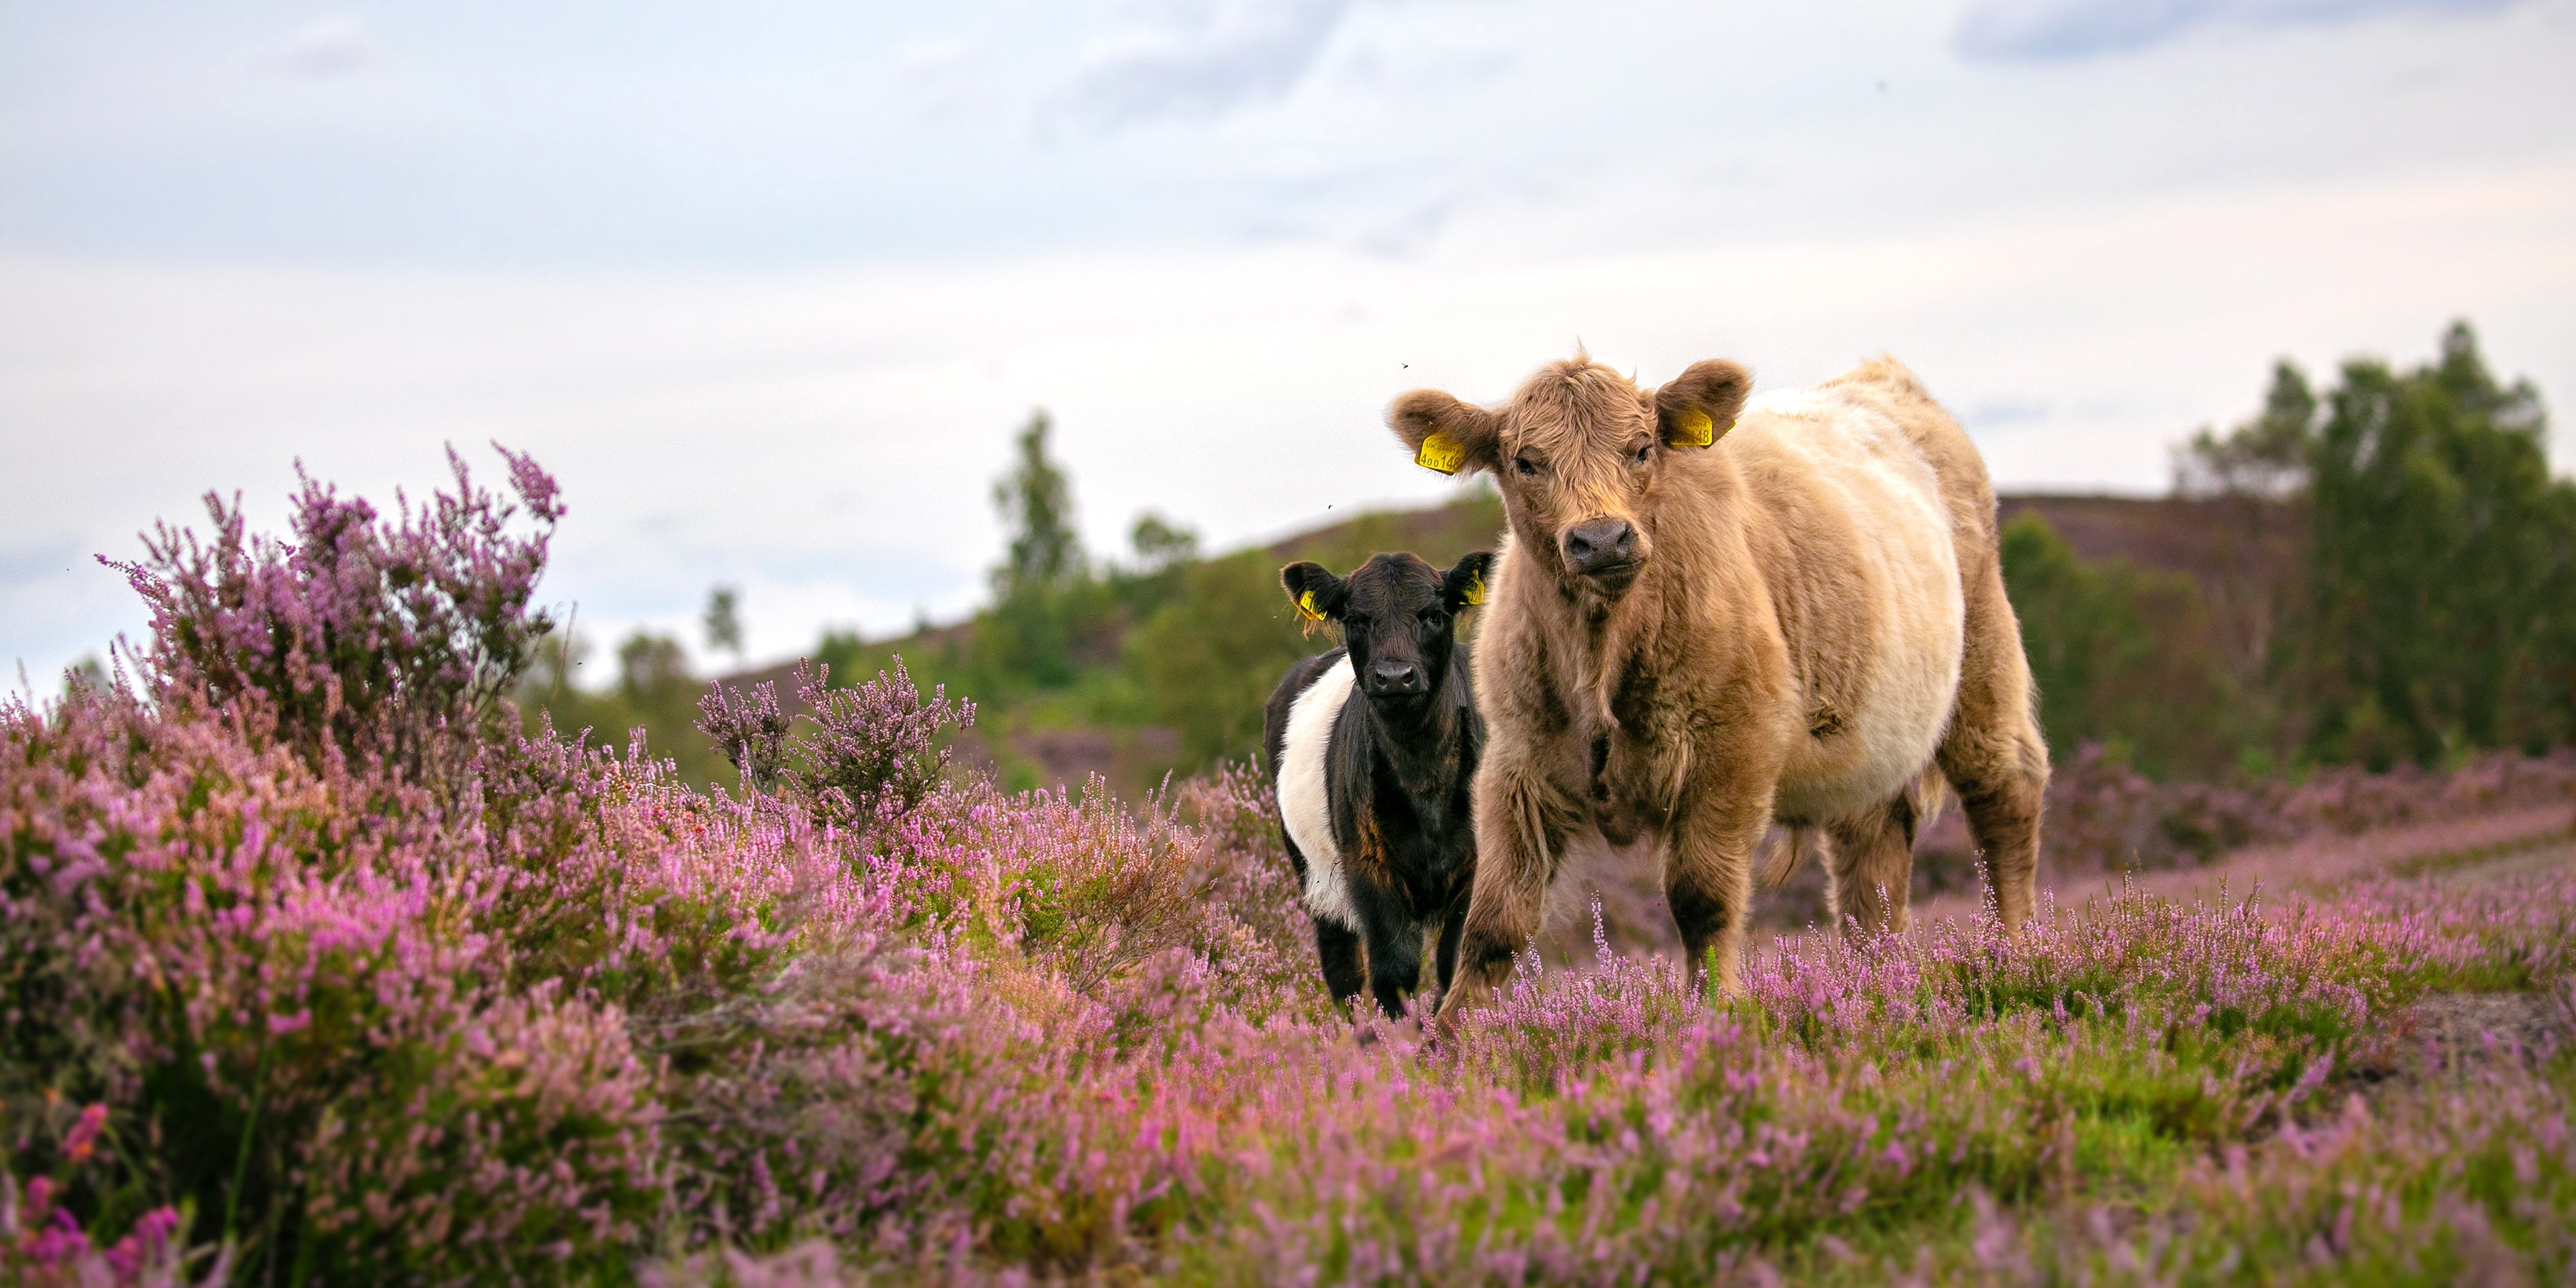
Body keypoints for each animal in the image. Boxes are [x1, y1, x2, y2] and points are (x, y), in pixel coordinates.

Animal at [1262, 550, 1496, 1020]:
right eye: (1356, 619)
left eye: (1433, 615)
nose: (1394, 676)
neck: (1424, 776)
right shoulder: (1368, 867)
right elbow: (1394, 971)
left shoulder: (1477, 867)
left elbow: (1456, 964)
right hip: (1313, 875)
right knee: (1343, 971)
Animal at [1386, 353, 2050, 1020]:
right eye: (1526, 462)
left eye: (1642, 448)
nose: (1601, 539)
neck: (1602, 647)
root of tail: (1880, 379)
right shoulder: (1517, 764)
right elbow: (1496, 920)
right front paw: (1453, 1032)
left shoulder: (1732, 749)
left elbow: (1701, 897)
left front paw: (1715, 1011)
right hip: (1868, 739)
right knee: (1873, 861)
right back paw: (1878, 981)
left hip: (1984, 663)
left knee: (2005, 797)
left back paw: (2012, 953)